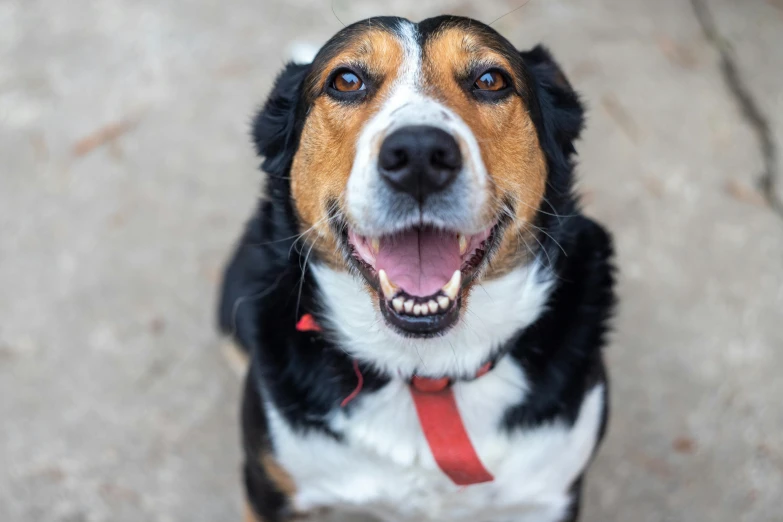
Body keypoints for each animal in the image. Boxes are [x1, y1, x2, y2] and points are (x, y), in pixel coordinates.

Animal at [217, 15, 616, 520]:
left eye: (492, 80)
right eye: (346, 80)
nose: (420, 155)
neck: (427, 372)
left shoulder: (550, 496)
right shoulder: (268, 486)